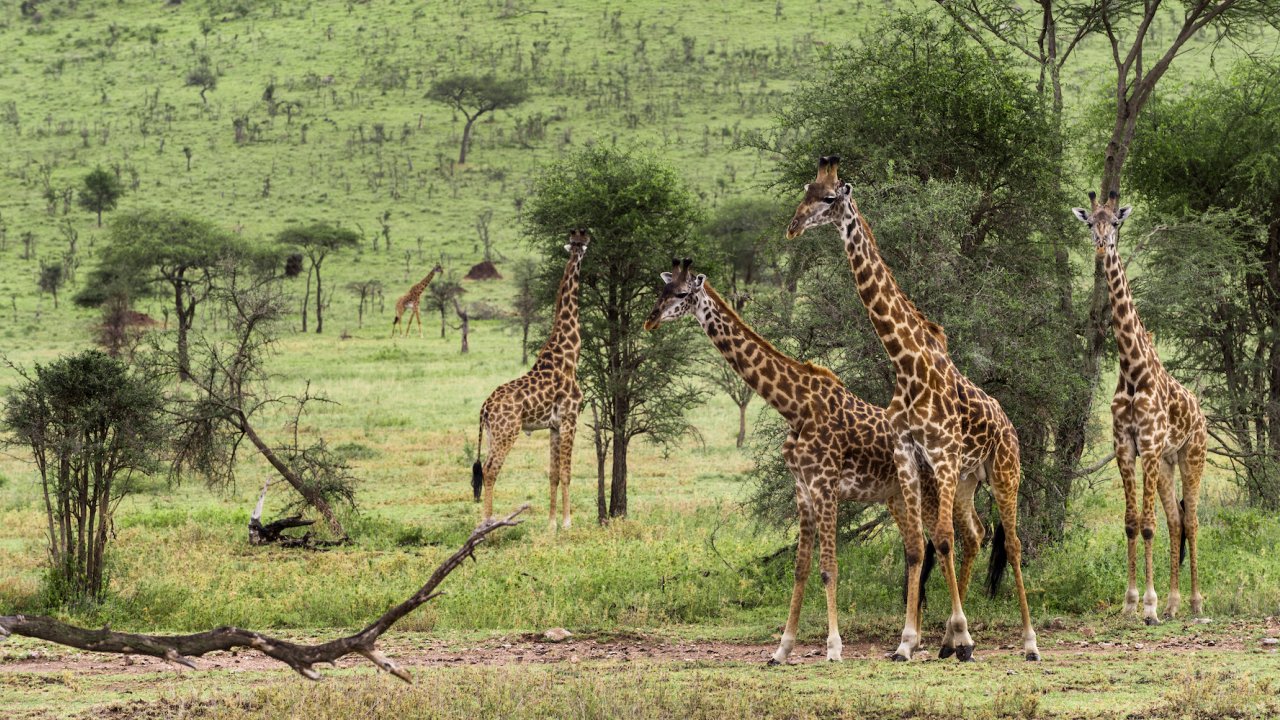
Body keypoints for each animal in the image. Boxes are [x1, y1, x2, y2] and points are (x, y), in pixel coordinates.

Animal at [472, 229, 589, 531]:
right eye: (580, 242)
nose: (583, 244)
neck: (569, 355)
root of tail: (484, 408)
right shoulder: (570, 419)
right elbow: (567, 472)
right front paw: (568, 523)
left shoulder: (554, 426)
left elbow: (553, 474)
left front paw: (551, 524)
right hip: (507, 432)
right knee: (490, 469)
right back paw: (488, 523)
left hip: (492, 433)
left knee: (485, 468)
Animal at [645, 258, 947, 664]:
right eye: (660, 290)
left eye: (680, 294)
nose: (650, 321)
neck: (794, 406)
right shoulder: (803, 490)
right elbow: (801, 568)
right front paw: (781, 649)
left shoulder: (826, 485)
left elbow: (829, 567)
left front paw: (833, 648)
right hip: (896, 496)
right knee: (922, 548)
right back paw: (915, 640)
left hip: (925, 491)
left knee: (952, 540)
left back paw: (926, 640)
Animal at [786, 156, 1039, 662]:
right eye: (806, 189)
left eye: (829, 198)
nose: (793, 226)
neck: (906, 364)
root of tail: (1010, 426)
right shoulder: (908, 453)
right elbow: (921, 548)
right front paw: (913, 641)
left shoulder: (940, 452)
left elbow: (938, 540)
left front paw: (962, 637)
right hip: (967, 480)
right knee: (976, 534)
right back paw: (946, 641)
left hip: (1003, 473)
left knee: (1015, 544)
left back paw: (1028, 641)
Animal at [1072, 191, 1205, 623]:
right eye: (1090, 222)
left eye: (1115, 222)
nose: (1102, 245)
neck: (1132, 370)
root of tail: (1201, 414)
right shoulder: (1125, 446)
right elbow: (1132, 523)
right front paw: (1130, 603)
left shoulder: (1146, 443)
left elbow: (1147, 524)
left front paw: (1149, 605)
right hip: (1165, 464)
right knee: (1176, 521)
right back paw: (1175, 602)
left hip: (1191, 457)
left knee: (1191, 520)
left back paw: (1195, 602)